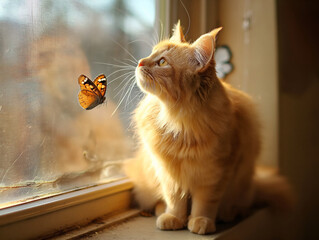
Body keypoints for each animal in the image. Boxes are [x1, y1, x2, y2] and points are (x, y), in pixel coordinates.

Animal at [124, 21, 294, 235]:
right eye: (151, 53)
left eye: (162, 62)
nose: (140, 62)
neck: (180, 124)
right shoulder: (169, 172)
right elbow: (174, 199)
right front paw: (174, 218)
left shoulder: (215, 174)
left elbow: (204, 203)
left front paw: (200, 221)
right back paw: (161, 210)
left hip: (243, 184)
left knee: (239, 204)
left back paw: (229, 213)